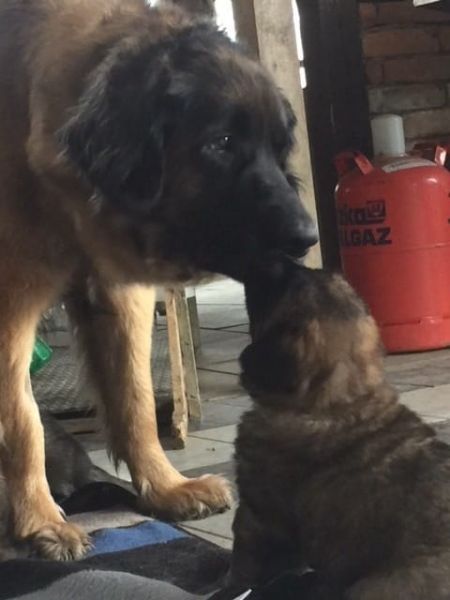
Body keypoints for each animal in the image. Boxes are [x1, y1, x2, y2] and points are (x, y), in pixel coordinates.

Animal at [0, 1, 316, 556]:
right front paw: (40, 521)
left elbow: (137, 399)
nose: (307, 237)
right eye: (221, 143)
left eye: (280, 149)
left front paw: (165, 488)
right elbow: (23, 420)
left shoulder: (119, 295)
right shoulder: (11, 300)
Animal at [232, 260, 450, 600]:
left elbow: (245, 561)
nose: (271, 260)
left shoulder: (259, 513)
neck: (334, 404)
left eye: (281, 286)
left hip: (377, 584)